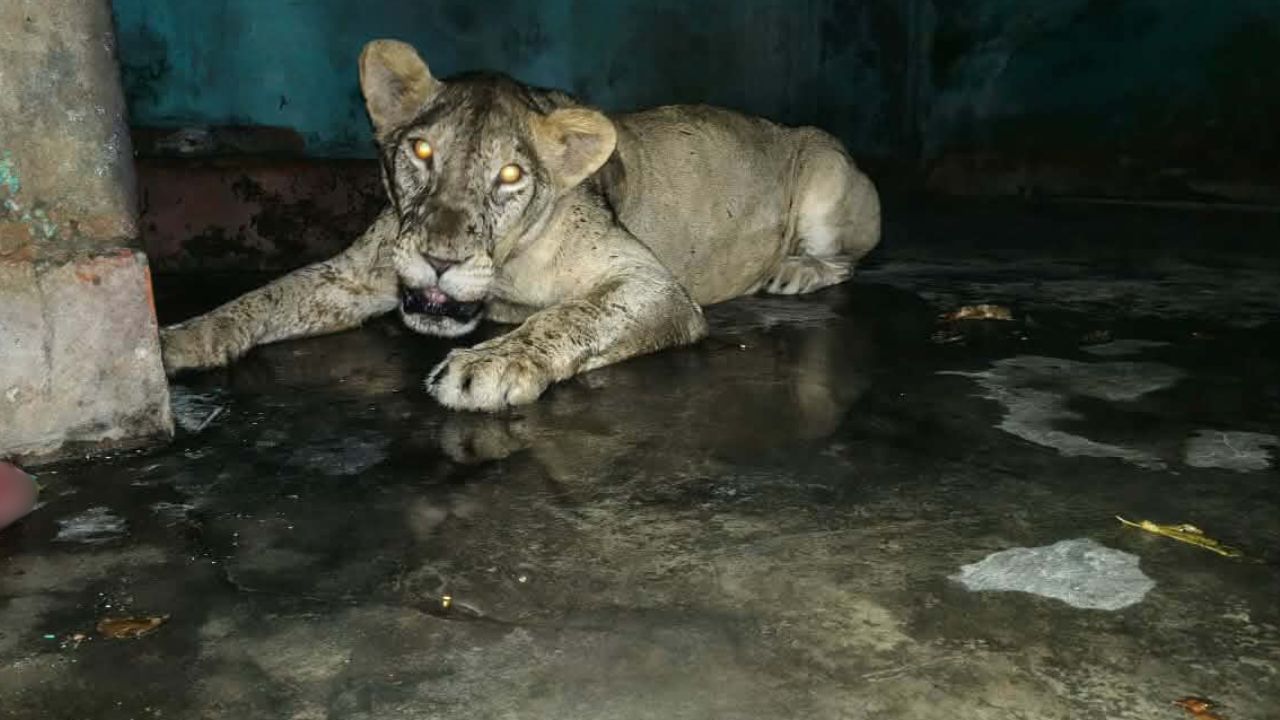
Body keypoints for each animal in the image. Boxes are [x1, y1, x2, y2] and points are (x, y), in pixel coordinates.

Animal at [160, 39, 881, 411]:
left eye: (510, 175)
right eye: (422, 151)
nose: (441, 261)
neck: (503, 271)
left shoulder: (653, 284)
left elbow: (568, 317)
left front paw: (489, 365)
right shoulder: (354, 275)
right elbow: (265, 296)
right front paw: (179, 339)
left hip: (824, 174)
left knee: (848, 258)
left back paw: (794, 271)